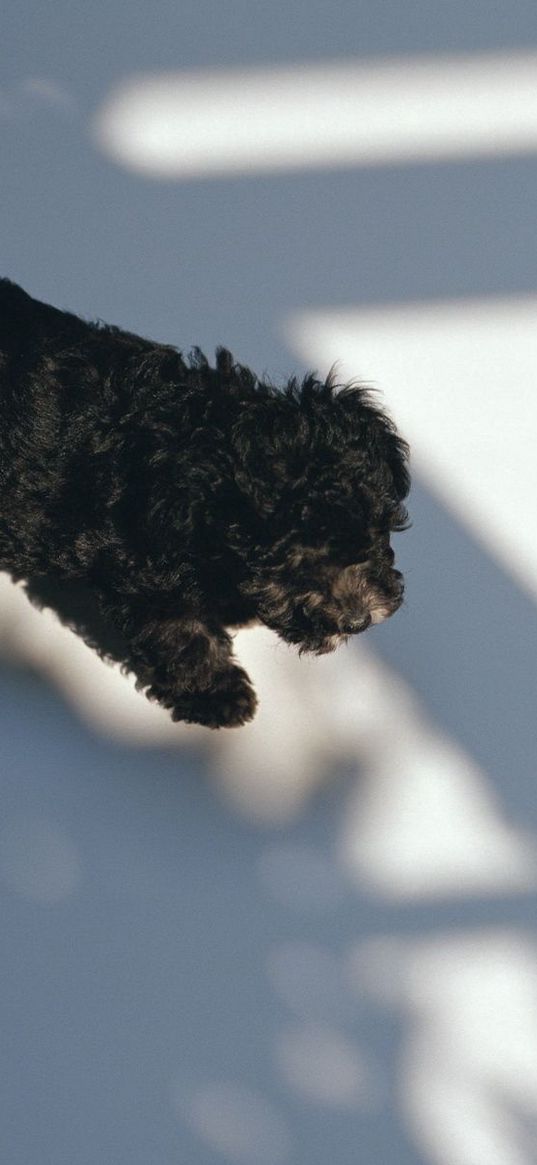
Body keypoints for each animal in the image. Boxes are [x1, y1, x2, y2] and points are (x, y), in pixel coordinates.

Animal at [0, 277, 407, 722]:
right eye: (297, 560)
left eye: (377, 530)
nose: (358, 621)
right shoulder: (147, 575)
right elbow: (182, 634)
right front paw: (222, 696)